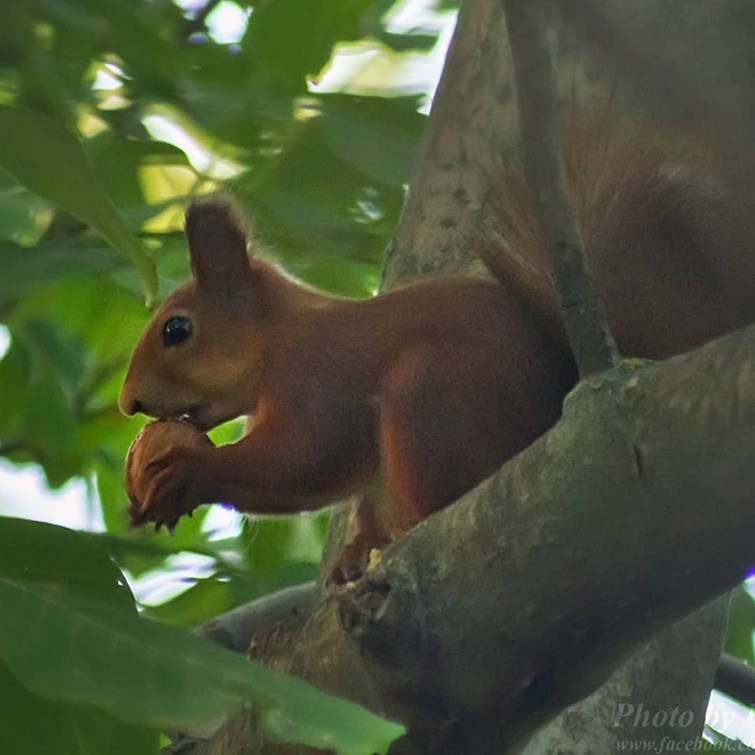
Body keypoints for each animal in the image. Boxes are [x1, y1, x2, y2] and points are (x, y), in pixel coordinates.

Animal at [119, 110, 755, 584]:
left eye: (177, 330)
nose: (128, 403)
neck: (277, 337)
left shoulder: (316, 373)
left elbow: (305, 458)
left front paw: (191, 468)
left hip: (431, 395)